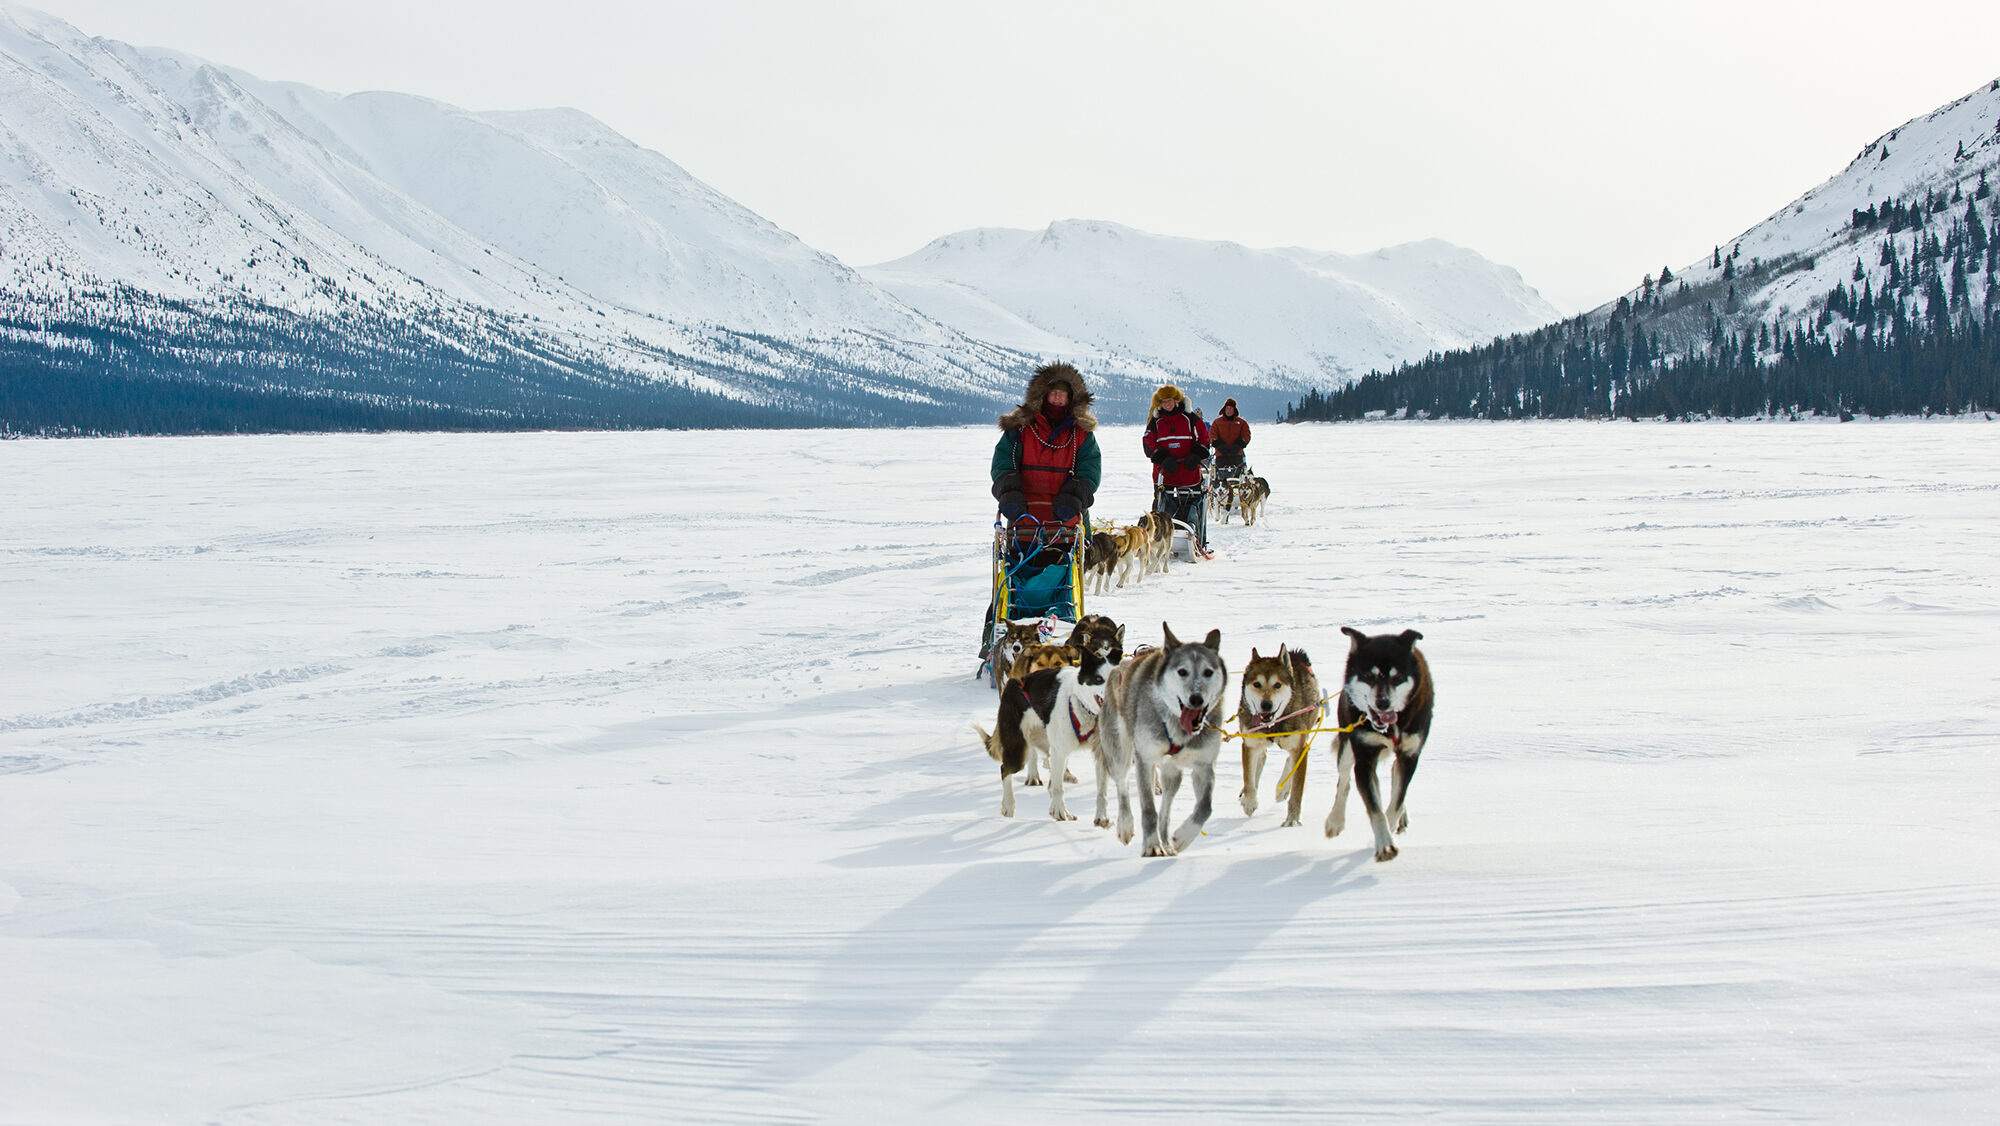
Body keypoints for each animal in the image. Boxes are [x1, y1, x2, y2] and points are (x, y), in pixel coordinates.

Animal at [972, 648, 1120, 824]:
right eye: (1098, 679)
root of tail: (1015, 682)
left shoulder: (1101, 754)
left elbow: (1101, 791)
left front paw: (1102, 817)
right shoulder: (1059, 752)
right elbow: (1058, 787)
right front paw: (1059, 811)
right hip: (1018, 751)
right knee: (1005, 769)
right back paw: (1008, 805)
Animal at [1096, 624, 1232, 856]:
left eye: (1208, 672)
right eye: (1182, 671)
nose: (1196, 699)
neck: (1177, 728)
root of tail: (1117, 669)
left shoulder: (1204, 765)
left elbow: (1205, 806)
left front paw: (1183, 837)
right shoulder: (1145, 759)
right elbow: (1148, 809)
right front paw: (1151, 845)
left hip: (1172, 772)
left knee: (1166, 807)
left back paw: (1167, 841)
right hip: (1120, 752)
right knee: (1123, 786)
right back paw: (1126, 826)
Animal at [1232, 648, 1328, 824]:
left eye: (1277, 684)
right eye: (1257, 684)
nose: (1266, 705)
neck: (1273, 725)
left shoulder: (1299, 746)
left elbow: (1297, 789)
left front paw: (1292, 820)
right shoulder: (1250, 744)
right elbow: (1248, 777)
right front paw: (1249, 801)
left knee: (1291, 759)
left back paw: (1282, 789)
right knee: (1261, 759)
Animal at [1320, 624, 1432, 864]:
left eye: (1397, 676)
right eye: (1368, 676)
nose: (1383, 703)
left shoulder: (1409, 756)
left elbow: (1396, 801)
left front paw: (1388, 830)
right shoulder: (1364, 759)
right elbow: (1375, 808)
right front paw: (1385, 845)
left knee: (1396, 780)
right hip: (1347, 748)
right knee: (1344, 782)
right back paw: (1335, 820)